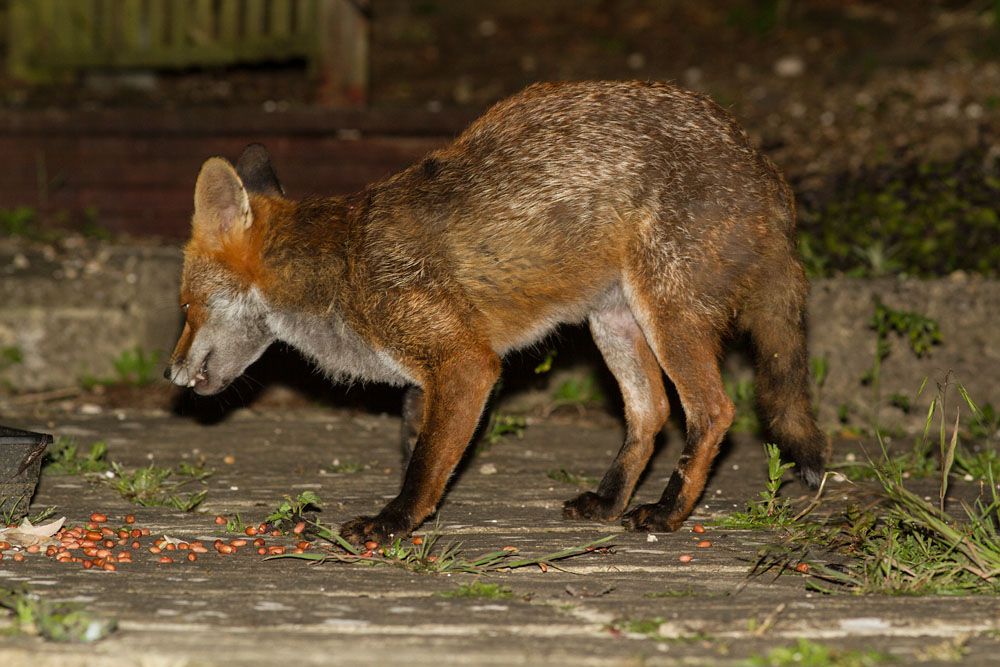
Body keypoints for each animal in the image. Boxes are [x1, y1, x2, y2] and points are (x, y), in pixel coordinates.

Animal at [164, 80, 829, 547]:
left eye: (186, 306)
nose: (169, 374)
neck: (343, 270)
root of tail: (759, 161)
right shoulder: (426, 377)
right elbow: (419, 449)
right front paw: (409, 516)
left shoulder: (463, 362)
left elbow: (424, 464)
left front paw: (393, 523)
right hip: (614, 322)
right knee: (653, 413)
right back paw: (610, 503)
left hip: (666, 313)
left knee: (713, 412)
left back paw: (666, 513)